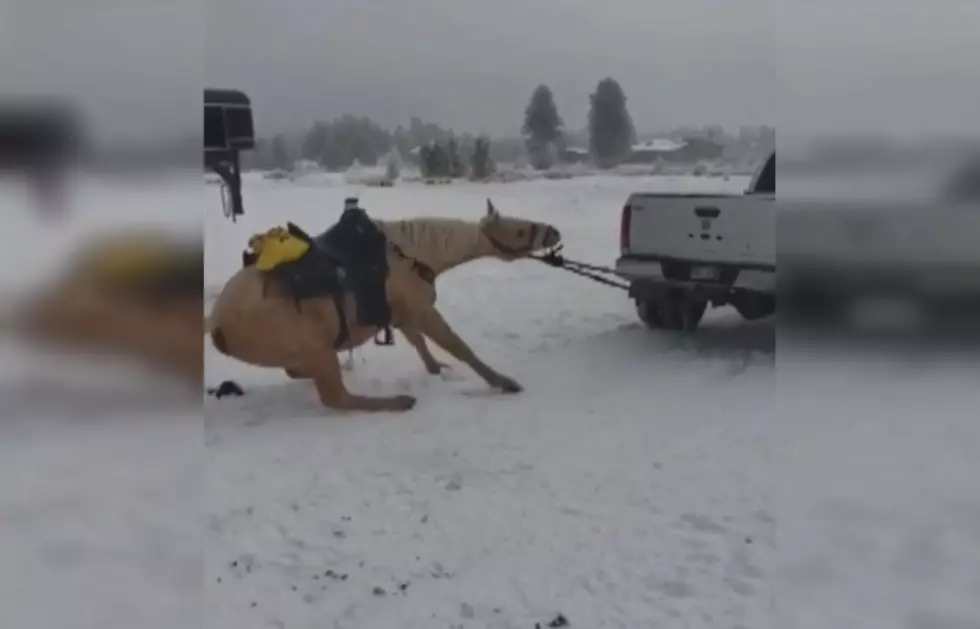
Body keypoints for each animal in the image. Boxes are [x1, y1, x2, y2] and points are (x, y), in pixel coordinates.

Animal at [207, 197, 560, 412]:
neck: (415, 254)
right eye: (519, 230)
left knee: (299, 373)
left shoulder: (403, 316)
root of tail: (216, 323)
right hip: (318, 351)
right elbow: (458, 346)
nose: (554, 231)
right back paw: (397, 401)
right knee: (337, 399)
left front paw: (437, 370)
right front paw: (503, 383)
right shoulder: (423, 310)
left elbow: (421, 346)